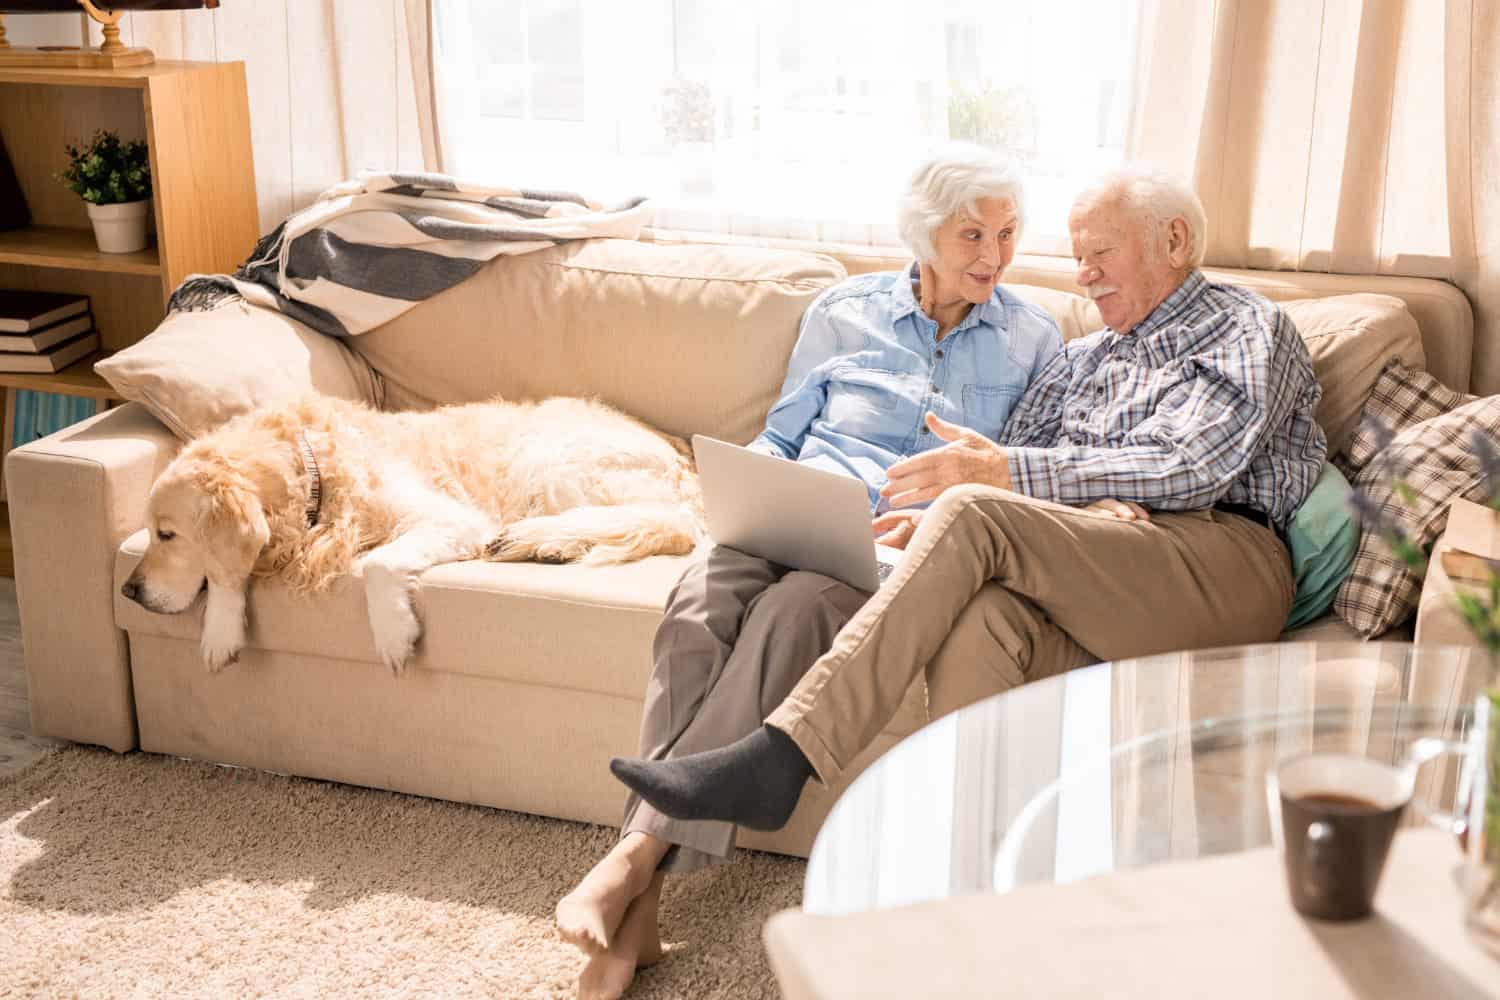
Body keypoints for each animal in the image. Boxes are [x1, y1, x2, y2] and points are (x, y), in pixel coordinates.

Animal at [118, 392, 702, 671]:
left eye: (168, 535)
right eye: (149, 531)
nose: (127, 590)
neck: (314, 472)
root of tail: (686, 459)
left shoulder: (453, 519)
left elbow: (378, 564)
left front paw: (395, 634)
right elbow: (227, 574)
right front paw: (221, 630)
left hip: (551, 458)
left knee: (669, 522)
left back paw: (538, 537)